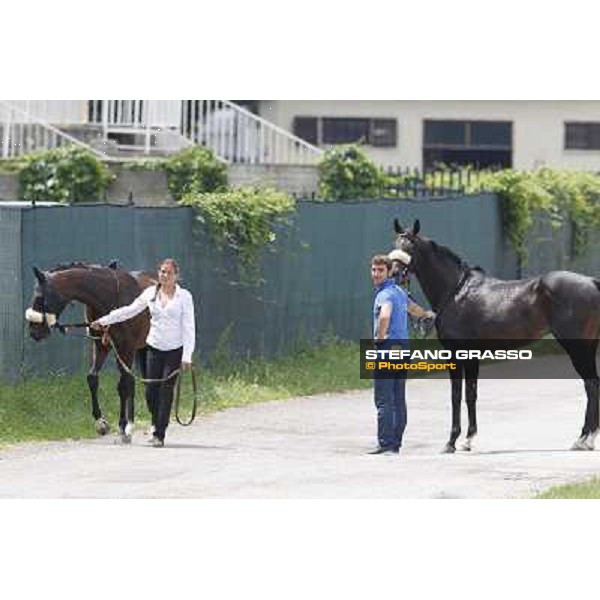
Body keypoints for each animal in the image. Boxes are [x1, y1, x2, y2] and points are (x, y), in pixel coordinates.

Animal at [25, 262, 157, 440]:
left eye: (40, 298)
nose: (34, 331)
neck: (109, 297)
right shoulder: (101, 345)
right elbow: (92, 378)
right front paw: (101, 422)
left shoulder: (126, 346)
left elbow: (124, 385)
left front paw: (123, 425)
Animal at [394, 218, 600, 452]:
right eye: (395, 244)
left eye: (410, 247)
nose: (395, 274)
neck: (456, 291)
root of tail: (591, 282)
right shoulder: (472, 356)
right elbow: (471, 393)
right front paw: (468, 439)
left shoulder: (456, 354)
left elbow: (456, 394)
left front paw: (451, 442)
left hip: (578, 348)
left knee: (591, 385)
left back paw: (584, 439)